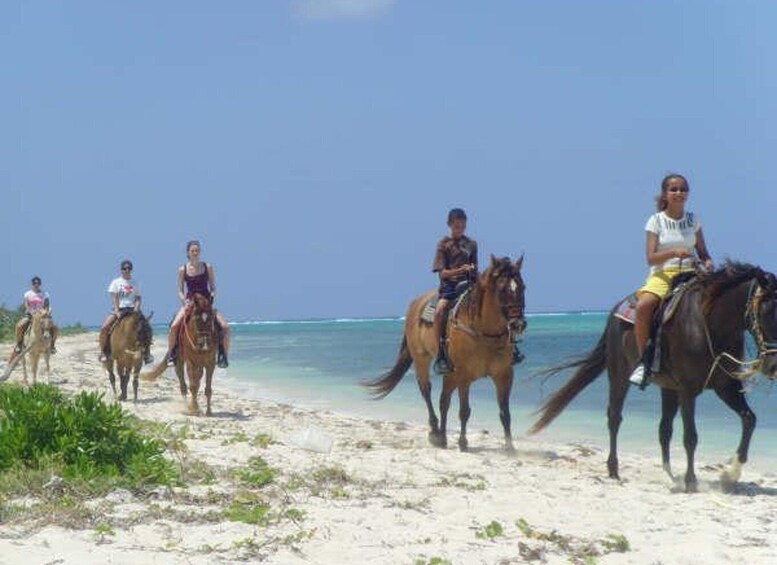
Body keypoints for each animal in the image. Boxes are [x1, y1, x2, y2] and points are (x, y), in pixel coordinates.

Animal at [366, 254, 524, 450]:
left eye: (523, 287)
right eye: (502, 289)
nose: (518, 324)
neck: (484, 332)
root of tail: (415, 304)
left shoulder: (504, 375)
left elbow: (505, 412)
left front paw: (510, 448)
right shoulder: (464, 375)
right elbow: (464, 410)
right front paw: (463, 443)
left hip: (450, 373)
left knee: (444, 400)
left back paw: (442, 436)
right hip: (422, 359)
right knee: (427, 391)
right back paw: (435, 432)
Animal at [532, 262, 776, 492]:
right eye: (765, 313)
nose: (772, 365)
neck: (709, 324)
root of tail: (614, 311)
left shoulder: (726, 387)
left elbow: (749, 419)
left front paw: (730, 473)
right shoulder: (688, 390)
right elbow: (691, 436)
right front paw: (691, 481)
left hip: (668, 388)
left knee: (664, 429)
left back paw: (669, 475)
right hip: (619, 375)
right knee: (615, 418)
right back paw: (614, 470)